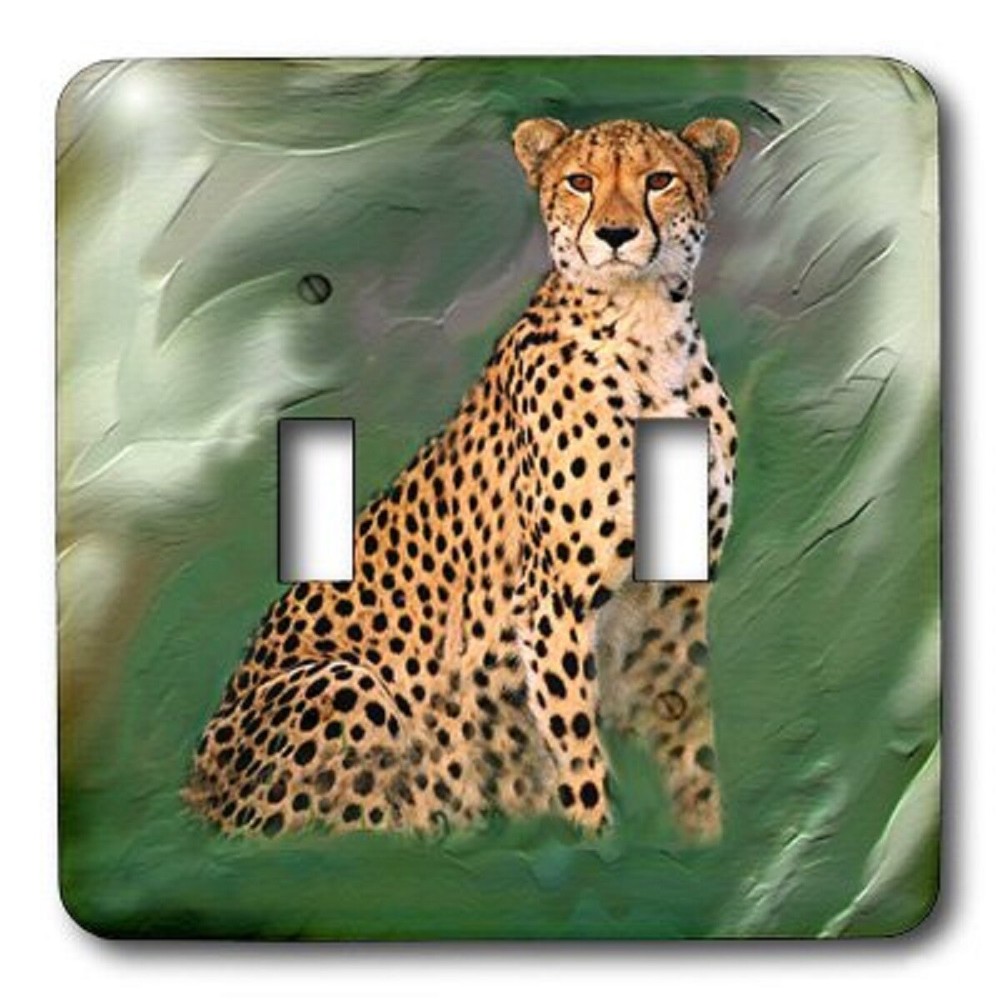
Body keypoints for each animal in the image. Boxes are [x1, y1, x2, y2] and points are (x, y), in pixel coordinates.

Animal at [184, 115, 742, 842]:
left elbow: (692, 743)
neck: (647, 328)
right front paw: (601, 850)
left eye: (660, 179)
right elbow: (579, 754)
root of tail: (196, 800)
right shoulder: (550, 605)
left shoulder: (676, 603)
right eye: (580, 180)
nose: (615, 234)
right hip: (346, 685)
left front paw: (704, 845)